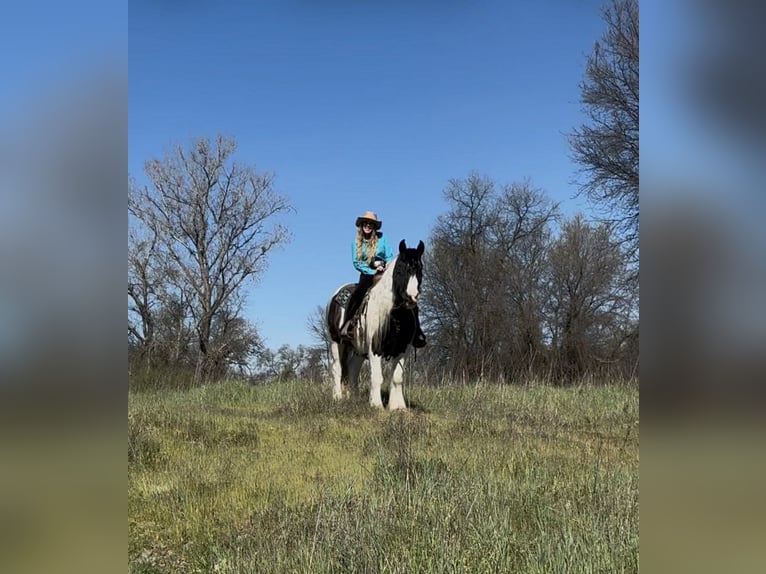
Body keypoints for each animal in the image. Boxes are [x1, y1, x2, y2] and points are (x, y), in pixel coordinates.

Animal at [325, 239, 425, 410]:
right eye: (400, 270)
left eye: (420, 270)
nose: (411, 297)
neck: (394, 314)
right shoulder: (375, 348)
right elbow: (377, 377)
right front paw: (377, 405)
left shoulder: (402, 348)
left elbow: (397, 378)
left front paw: (398, 407)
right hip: (335, 342)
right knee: (337, 368)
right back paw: (337, 397)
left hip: (358, 349)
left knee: (353, 369)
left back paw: (355, 398)